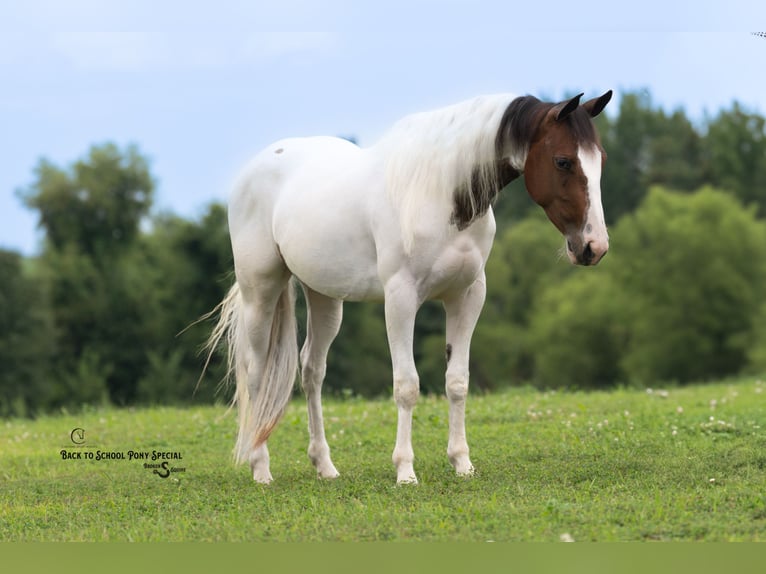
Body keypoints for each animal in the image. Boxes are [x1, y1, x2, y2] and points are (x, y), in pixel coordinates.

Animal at [204, 90, 613, 484]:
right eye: (563, 161)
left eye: (601, 160)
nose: (594, 247)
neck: (441, 194)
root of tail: (256, 167)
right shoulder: (400, 298)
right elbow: (407, 386)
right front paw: (405, 470)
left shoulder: (467, 296)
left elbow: (457, 381)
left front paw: (462, 463)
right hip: (261, 291)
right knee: (257, 374)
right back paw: (260, 468)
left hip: (324, 298)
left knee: (311, 371)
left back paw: (325, 466)